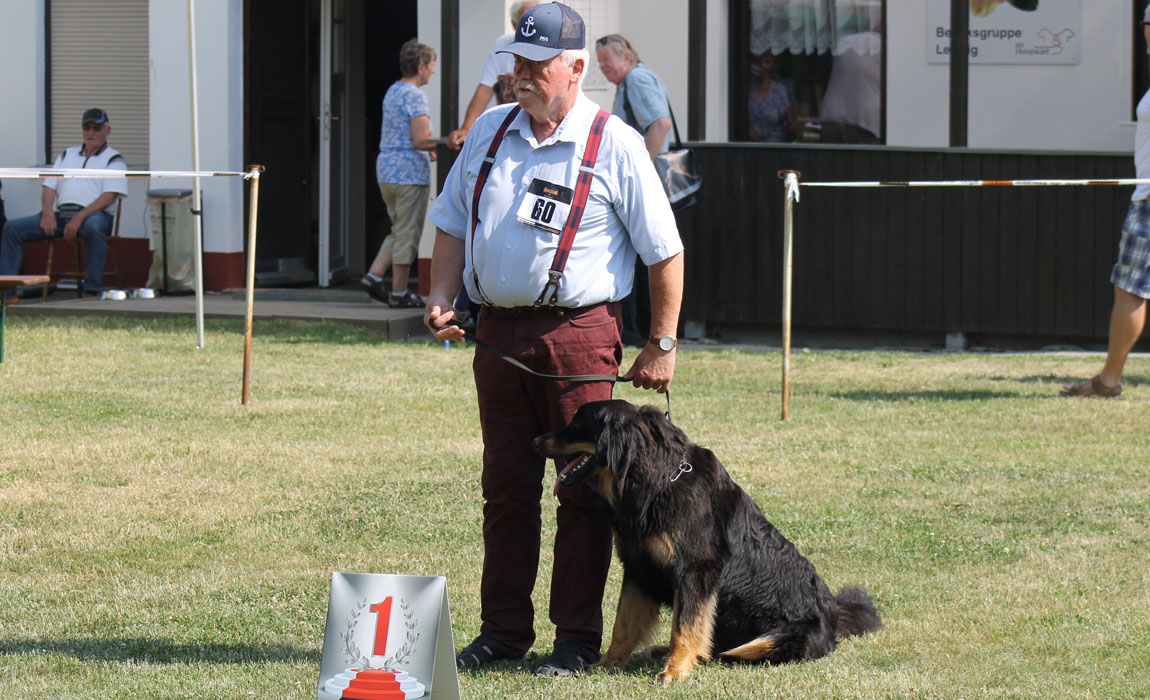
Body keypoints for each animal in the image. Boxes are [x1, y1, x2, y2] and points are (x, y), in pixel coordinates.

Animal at [533, 397, 883, 680]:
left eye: (576, 423)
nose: (535, 440)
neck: (656, 480)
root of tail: (834, 616)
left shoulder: (695, 571)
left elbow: (684, 626)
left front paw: (676, 670)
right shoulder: (639, 569)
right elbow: (623, 625)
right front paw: (606, 664)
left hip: (780, 637)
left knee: (737, 650)